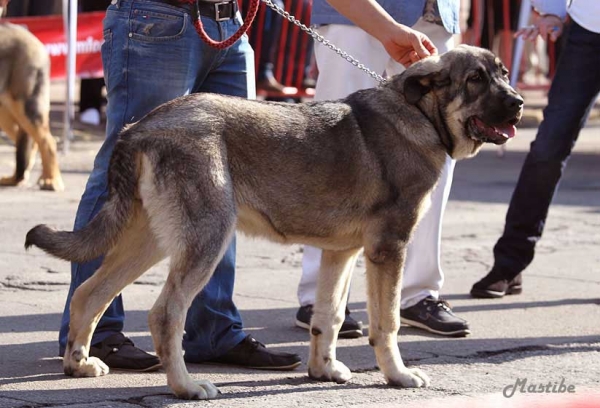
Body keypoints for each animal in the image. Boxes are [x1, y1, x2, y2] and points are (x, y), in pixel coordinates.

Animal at [0, 23, 64, 192]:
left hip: (27, 106)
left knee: (47, 141)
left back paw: (51, 179)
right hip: (7, 113)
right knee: (29, 141)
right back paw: (16, 178)